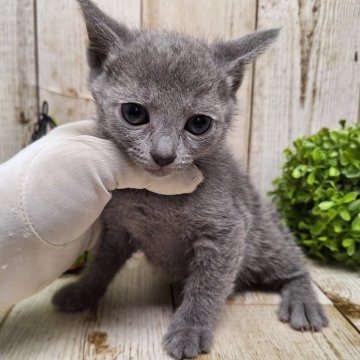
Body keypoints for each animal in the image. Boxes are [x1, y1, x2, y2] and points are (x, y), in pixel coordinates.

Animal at [53, 1, 330, 358]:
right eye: (134, 113)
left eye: (198, 123)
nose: (163, 154)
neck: (155, 197)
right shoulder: (116, 229)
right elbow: (101, 264)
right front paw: (81, 290)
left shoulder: (228, 231)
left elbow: (207, 286)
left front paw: (190, 329)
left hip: (263, 236)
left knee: (295, 263)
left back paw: (303, 300)